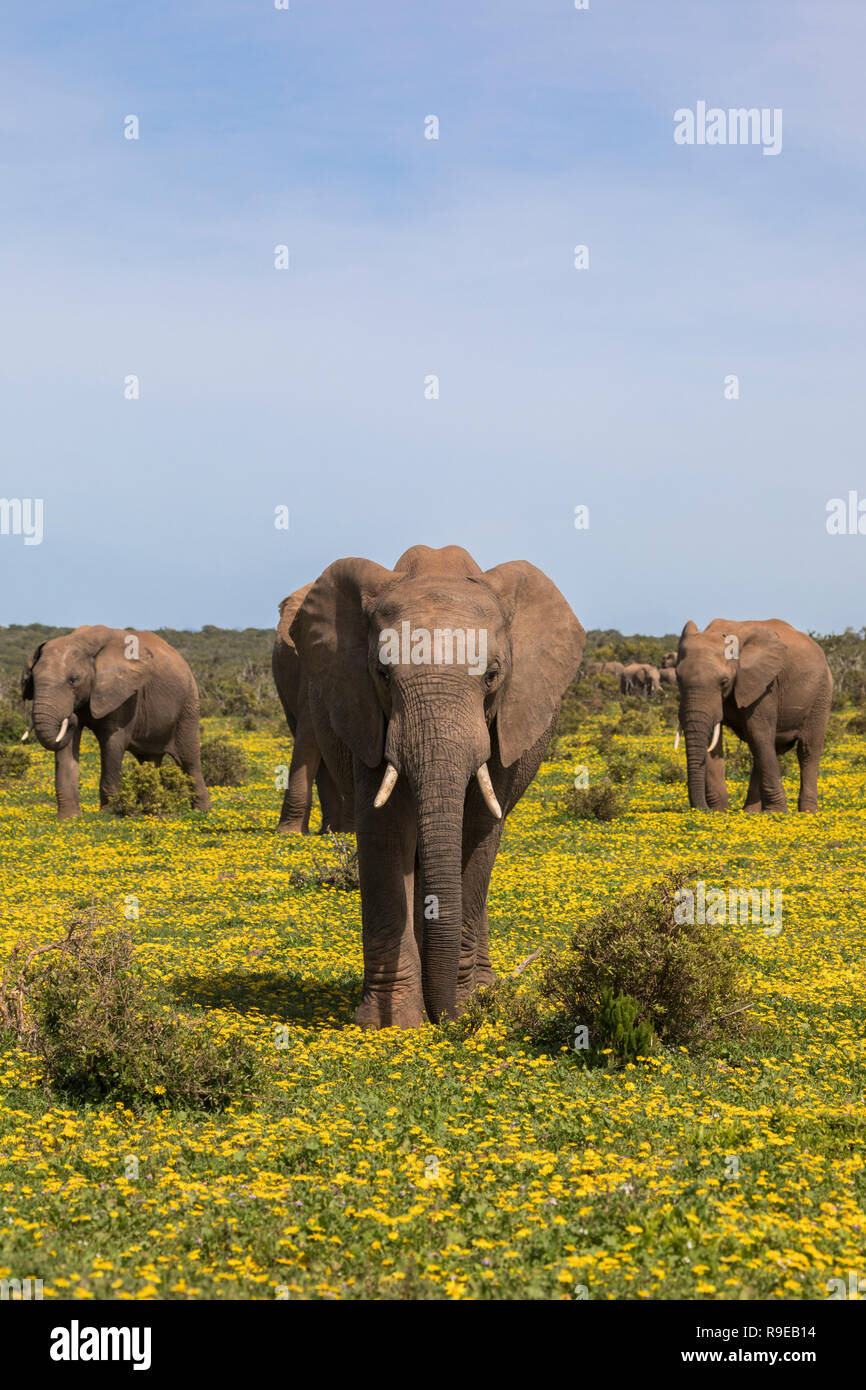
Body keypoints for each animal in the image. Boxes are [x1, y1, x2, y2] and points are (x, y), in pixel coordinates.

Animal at [21, 628, 211, 817]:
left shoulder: (125, 694)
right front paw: (69, 818)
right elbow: (66, 748)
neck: (82, 642)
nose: (71, 716)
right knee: (149, 760)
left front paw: (109, 813)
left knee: (188, 758)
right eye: (33, 679)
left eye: (73, 680)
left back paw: (201, 811)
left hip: (188, 704)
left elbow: (112, 743)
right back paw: (151, 810)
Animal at [287, 542, 586, 1034]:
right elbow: (385, 833)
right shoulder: (366, 715)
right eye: (383, 675)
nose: (446, 1021)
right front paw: (390, 1026)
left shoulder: (503, 723)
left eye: (492, 675)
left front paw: (468, 1006)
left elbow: (477, 833)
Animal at [678, 619, 834, 811]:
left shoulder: (765, 685)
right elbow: (714, 739)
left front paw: (776, 813)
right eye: (678, 679)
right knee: (765, 748)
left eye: (723, 682)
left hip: (822, 691)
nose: (702, 809)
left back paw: (808, 812)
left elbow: (758, 732)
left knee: (806, 748)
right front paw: (718, 812)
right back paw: (750, 813)